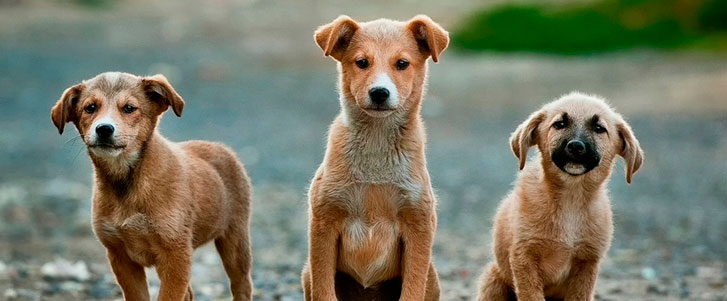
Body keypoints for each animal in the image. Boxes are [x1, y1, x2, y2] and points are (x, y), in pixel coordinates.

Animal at [50, 72, 253, 300]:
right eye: (90, 108)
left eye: (129, 108)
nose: (103, 129)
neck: (128, 182)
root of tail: (221, 147)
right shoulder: (120, 255)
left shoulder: (175, 253)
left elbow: (168, 296)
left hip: (235, 240)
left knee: (242, 285)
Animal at [302, 16, 450, 300]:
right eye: (362, 62)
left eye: (402, 64)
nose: (379, 92)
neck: (376, 146)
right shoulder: (324, 220)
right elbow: (324, 288)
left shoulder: (418, 223)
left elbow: (412, 289)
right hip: (306, 272)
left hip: (432, 277)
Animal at [480, 91, 644, 300]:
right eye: (559, 124)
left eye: (599, 128)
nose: (576, 146)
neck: (570, 198)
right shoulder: (524, 257)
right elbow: (531, 295)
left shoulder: (587, 262)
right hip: (492, 280)